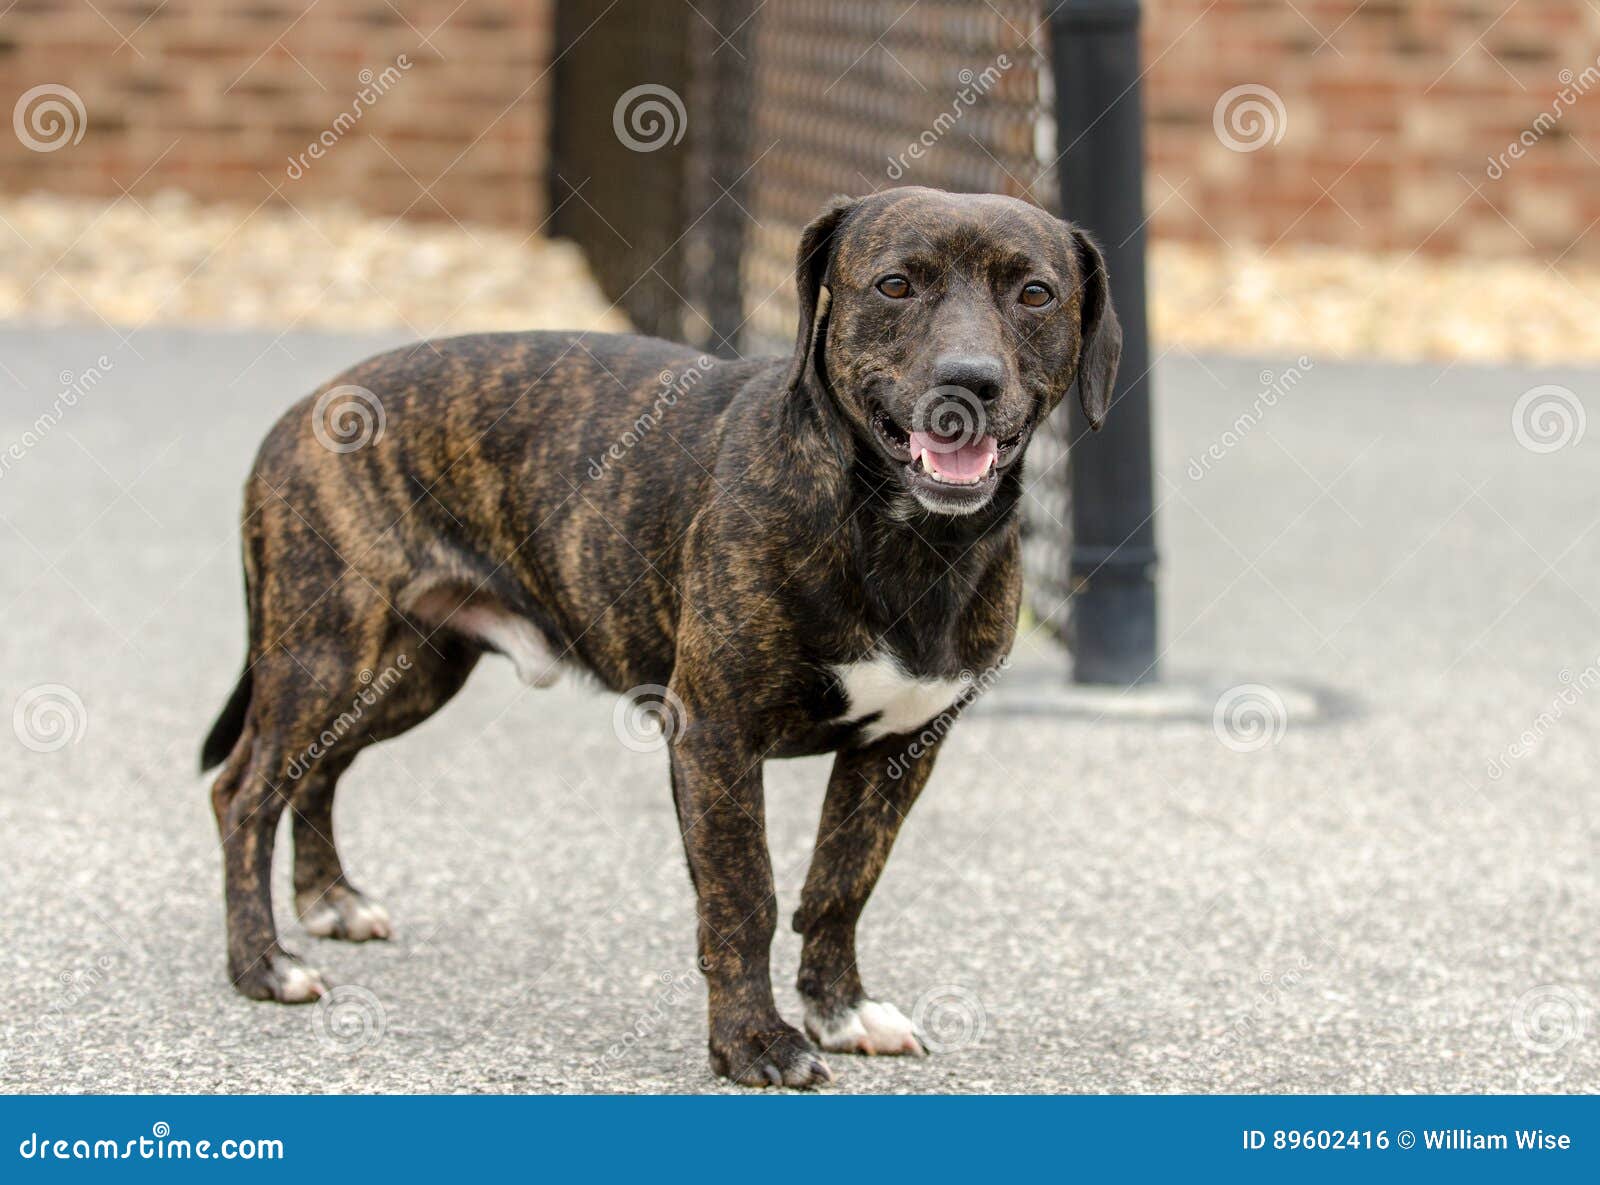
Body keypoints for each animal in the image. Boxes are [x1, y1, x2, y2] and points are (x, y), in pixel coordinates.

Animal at [206, 187, 1120, 1093]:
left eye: (1035, 294)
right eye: (895, 284)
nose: (969, 380)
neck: (901, 533)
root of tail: (311, 404)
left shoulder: (899, 747)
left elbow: (840, 884)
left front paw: (839, 1011)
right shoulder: (715, 734)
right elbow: (744, 894)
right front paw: (754, 1042)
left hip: (404, 673)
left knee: (319, 768)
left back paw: (329, 900)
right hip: (324, 655)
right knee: (243, 791)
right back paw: (262, 964)